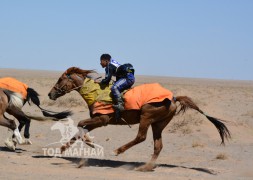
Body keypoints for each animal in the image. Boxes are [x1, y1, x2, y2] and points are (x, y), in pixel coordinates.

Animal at [48, 67, 231, 171]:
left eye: (60, 79)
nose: (51, 94)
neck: (95, 93)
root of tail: (173, 98)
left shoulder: (102, 120)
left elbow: (80, 124)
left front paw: (89, 144)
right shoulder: (96, 122)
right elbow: (79, 131)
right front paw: (63, 150)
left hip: (146, 117)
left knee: (141, 137)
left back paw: (118, 151)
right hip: (158, 124)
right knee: (158, 145)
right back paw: (145, 167)